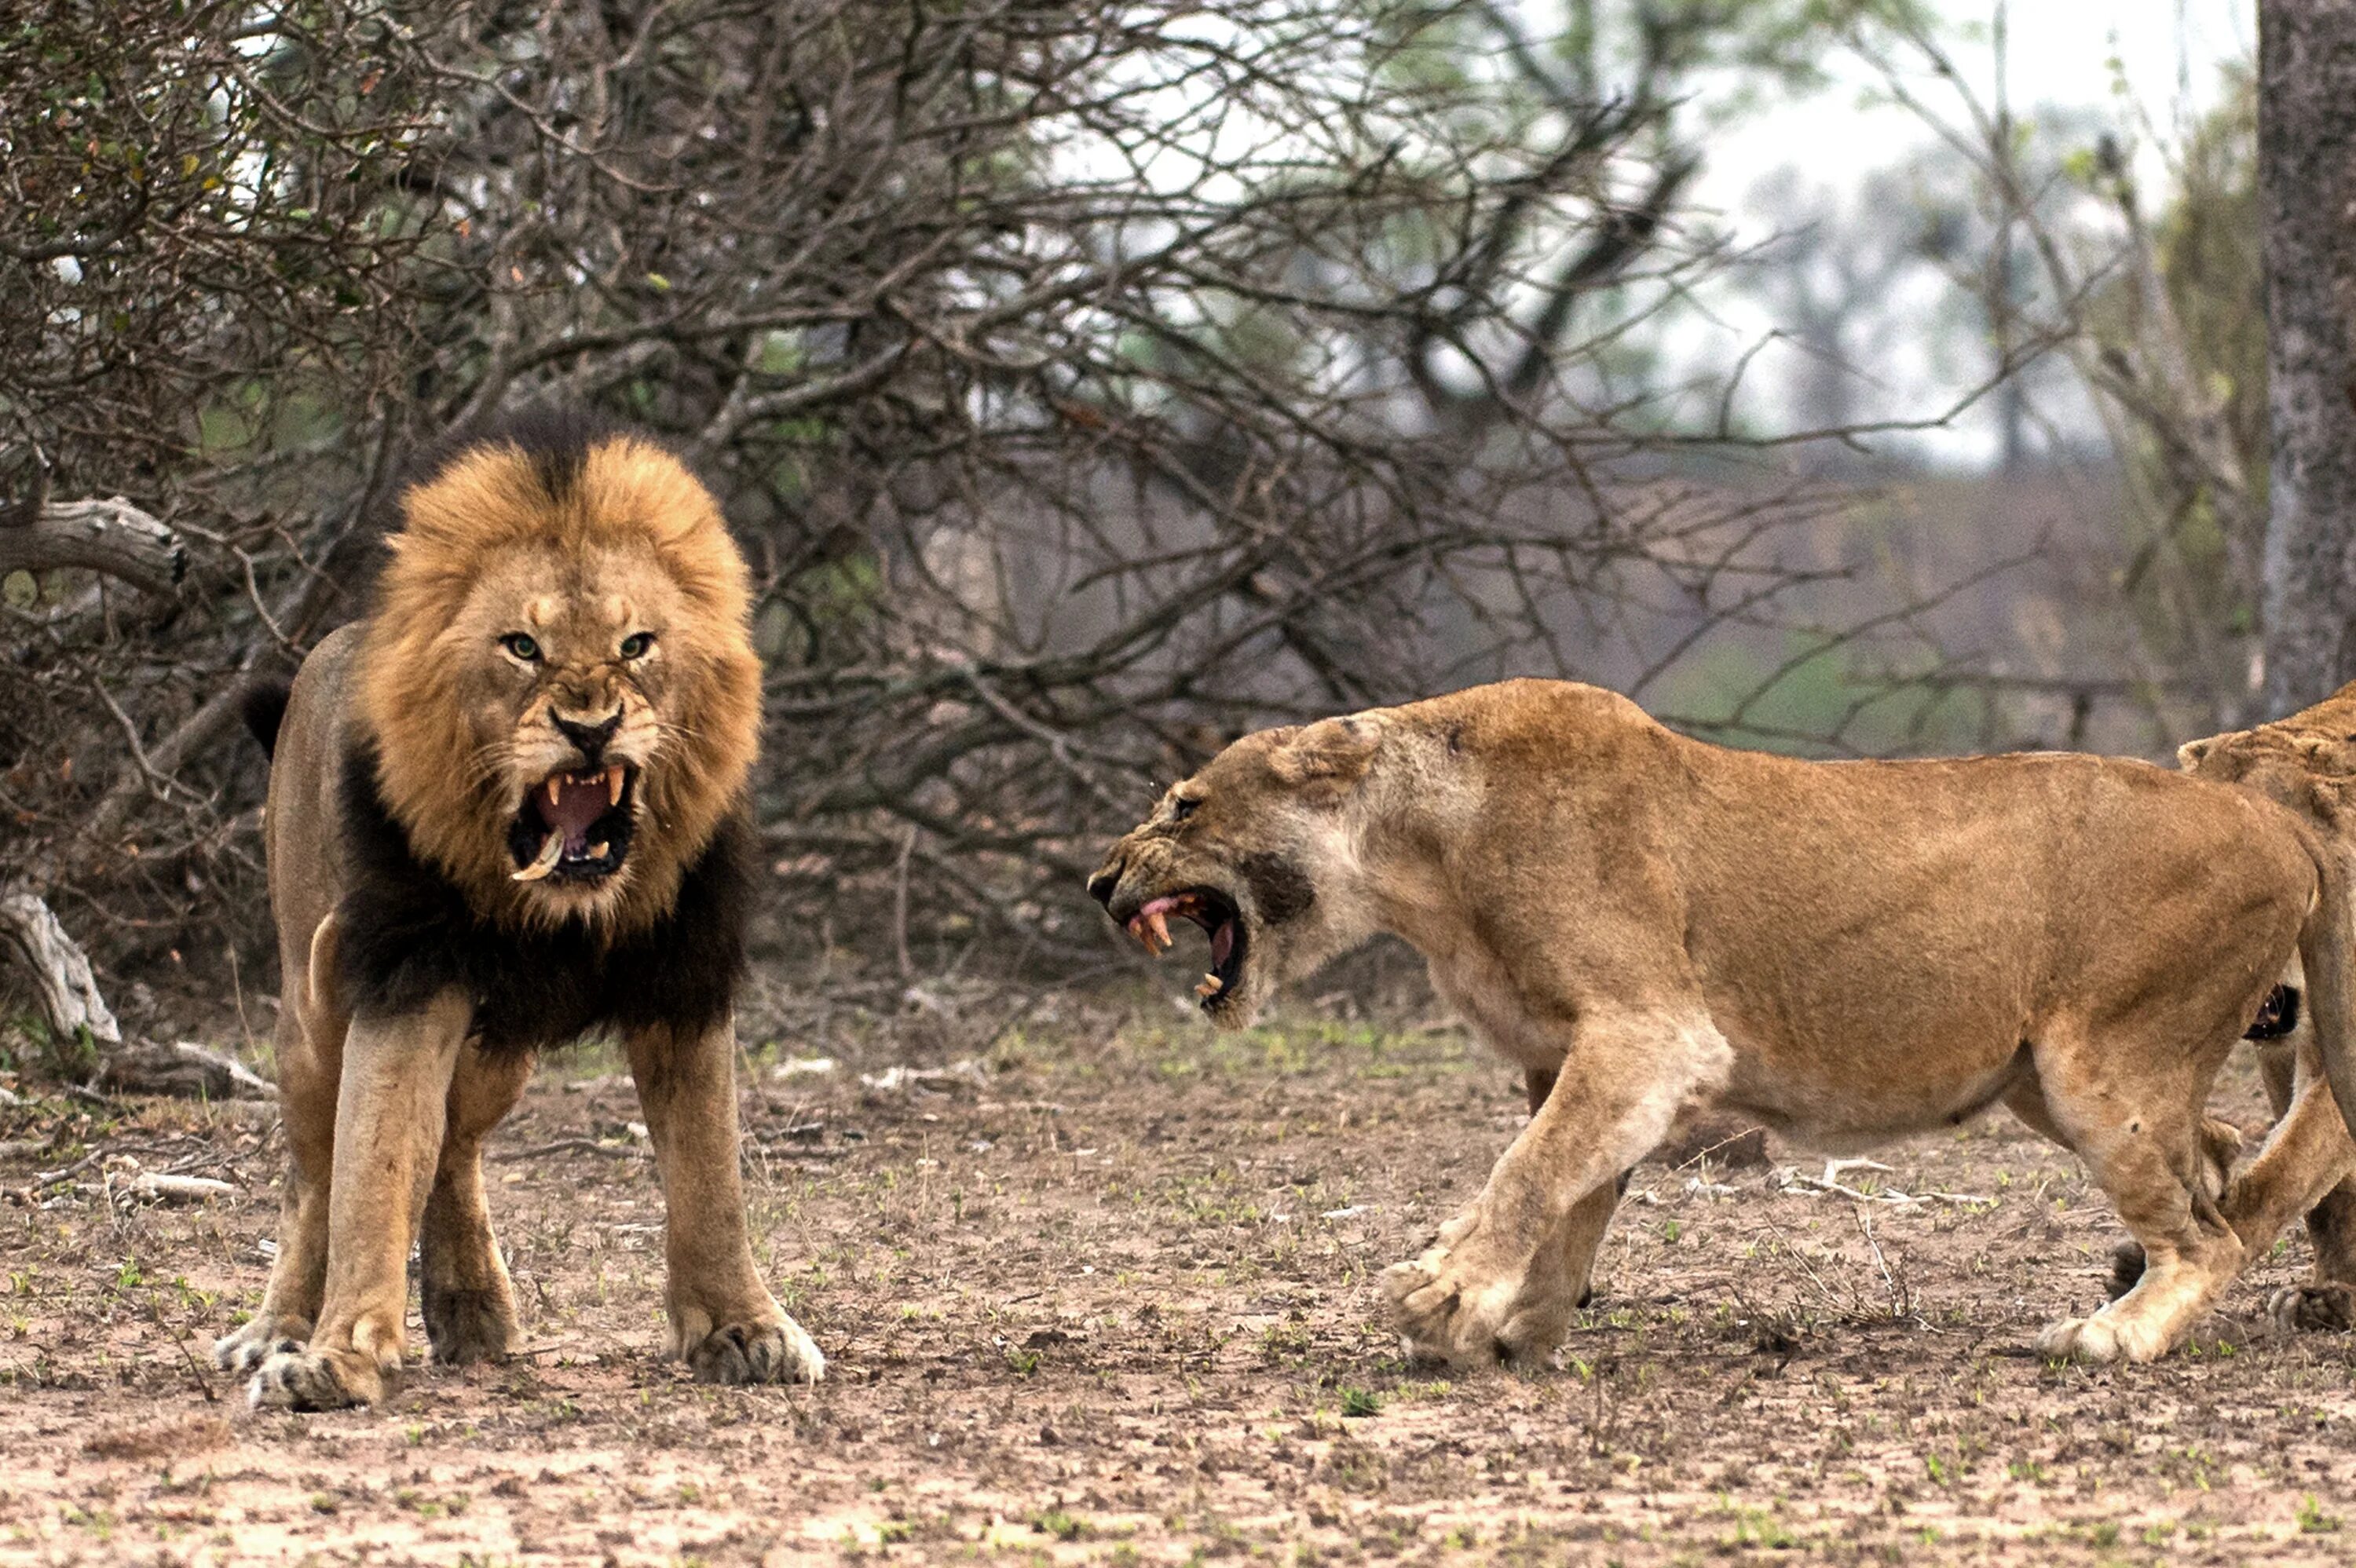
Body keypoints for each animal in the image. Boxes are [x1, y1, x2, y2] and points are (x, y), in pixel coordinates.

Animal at [219, 404, 829, 1403]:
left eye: (636, 644)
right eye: (522, 646)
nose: (590, 726)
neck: (564, 907)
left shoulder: (685, 974)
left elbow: (711, 1174)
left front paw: (749, 1328)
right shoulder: (406, 971)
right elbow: (372, 1168)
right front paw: (339, 1355)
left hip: (497, 1052)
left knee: (454, 1144)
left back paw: (473, 1307)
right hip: (311, 1004)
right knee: (315, 1177)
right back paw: (277, 1330)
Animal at [1084, 678, 2356, 1365]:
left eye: (1183, 805)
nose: (1100, 883)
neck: (1425, 859)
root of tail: (2272, 819)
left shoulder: (1651, 1034)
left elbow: (1525, 1173)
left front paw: (1439, 1298)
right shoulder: (1576, 1053)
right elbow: (1576, 1194)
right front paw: (1518, 1331)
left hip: (2103, 1061)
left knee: (2213, 1231)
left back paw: (2113, 1336)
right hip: (2045, 1075)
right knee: (2222, 1162)